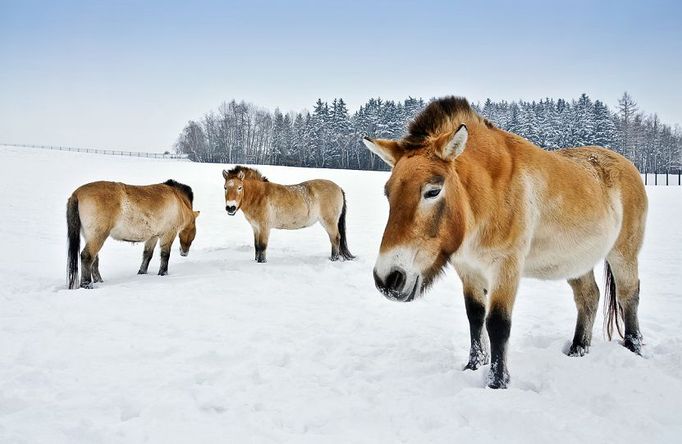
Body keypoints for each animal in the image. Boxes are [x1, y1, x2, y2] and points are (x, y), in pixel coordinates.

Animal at [65, 179, 199, 290]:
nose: (184, 253)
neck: (178, 200)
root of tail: (76, 194)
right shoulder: (168, 234)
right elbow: (165, 255)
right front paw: (163, 274)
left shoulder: (153, 237)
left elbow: (147, 255)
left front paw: (142, 272)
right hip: (97, 236)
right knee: (87, 256)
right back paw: (87, 284)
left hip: (90, 236)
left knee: (94, 260)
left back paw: (99, 281)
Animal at [222, 166, 354, 264]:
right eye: (225, 188)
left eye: (240, 187)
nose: (230, 207)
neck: (259, 196)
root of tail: (338, 187)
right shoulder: (255, 227)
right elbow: (257, 246)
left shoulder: (264, 227)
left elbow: (263, 246)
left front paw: (262, 262)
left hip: (329, 222)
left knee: (335, 239)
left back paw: (333, 259)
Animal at [358, 96, 644, 388]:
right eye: (388, 193)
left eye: (433, 191)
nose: (388, 279)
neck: (489, 196)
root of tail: (626, 164)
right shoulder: (468, 269)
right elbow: (475, 317)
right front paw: (474, 365)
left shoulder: (505, 266)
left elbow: (497, 324)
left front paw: (497, 382)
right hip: (577, 262)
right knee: (588, 298)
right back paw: (577, 350)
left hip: (623, 253)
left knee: (628, 295)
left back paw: (634, 348)